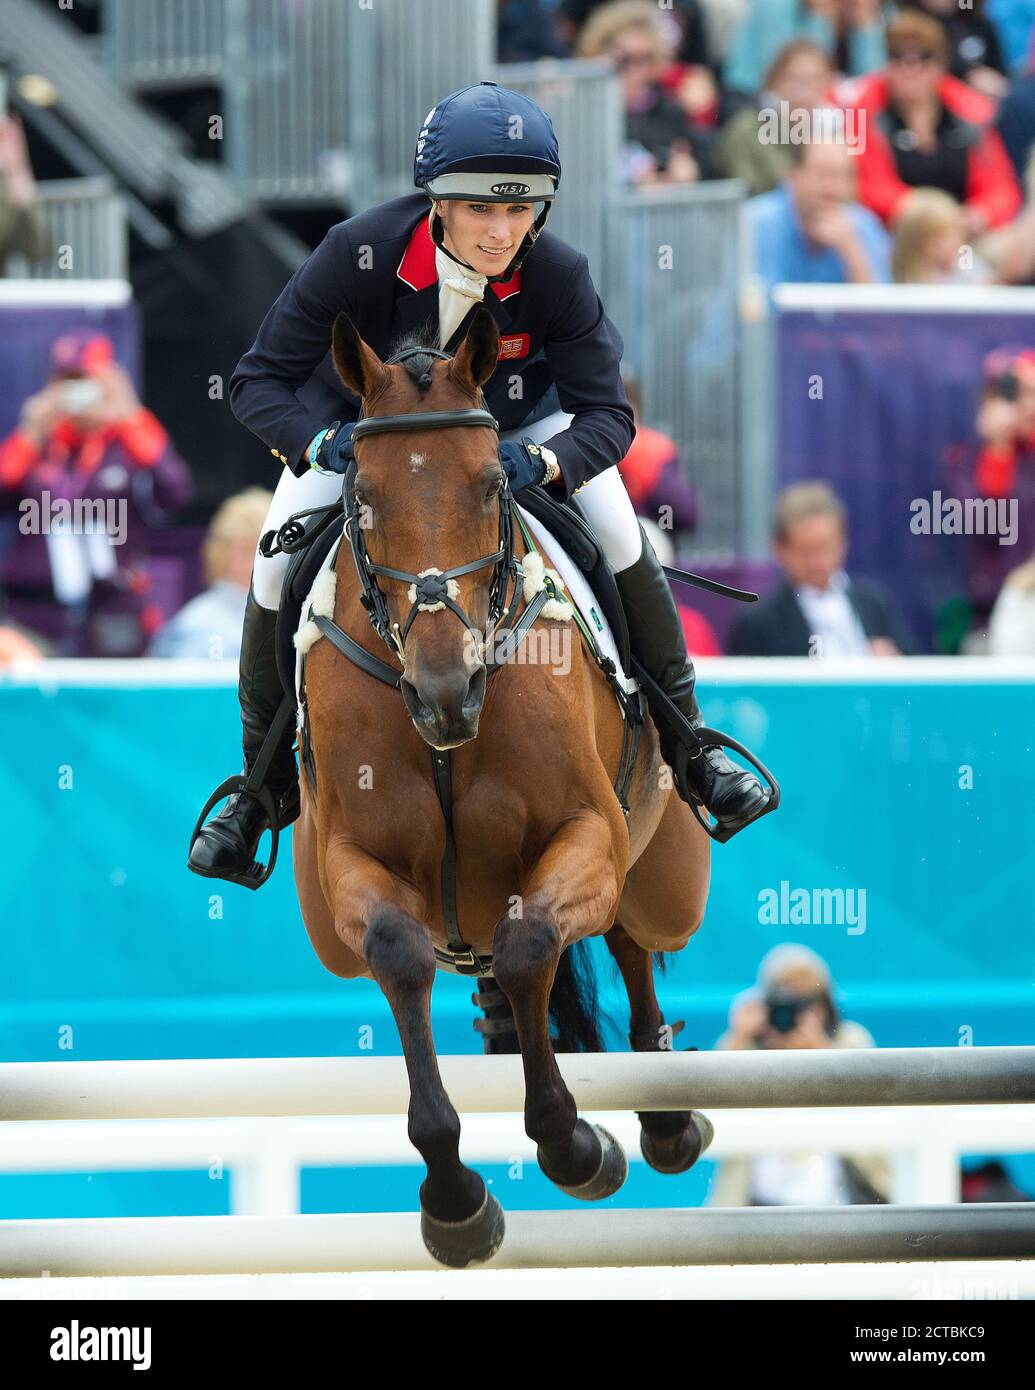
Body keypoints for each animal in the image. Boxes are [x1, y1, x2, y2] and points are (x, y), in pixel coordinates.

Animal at [290, 307, 711, 1273]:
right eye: (362, 500)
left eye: (491, 488)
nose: (445, 693)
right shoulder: (351, 864)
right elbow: (400, 957)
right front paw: (453, 1201)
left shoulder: (585, 830)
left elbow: (528, 945)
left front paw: (573, 1146)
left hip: (665, 879)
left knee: (627, 936)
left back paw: (667, 1120)